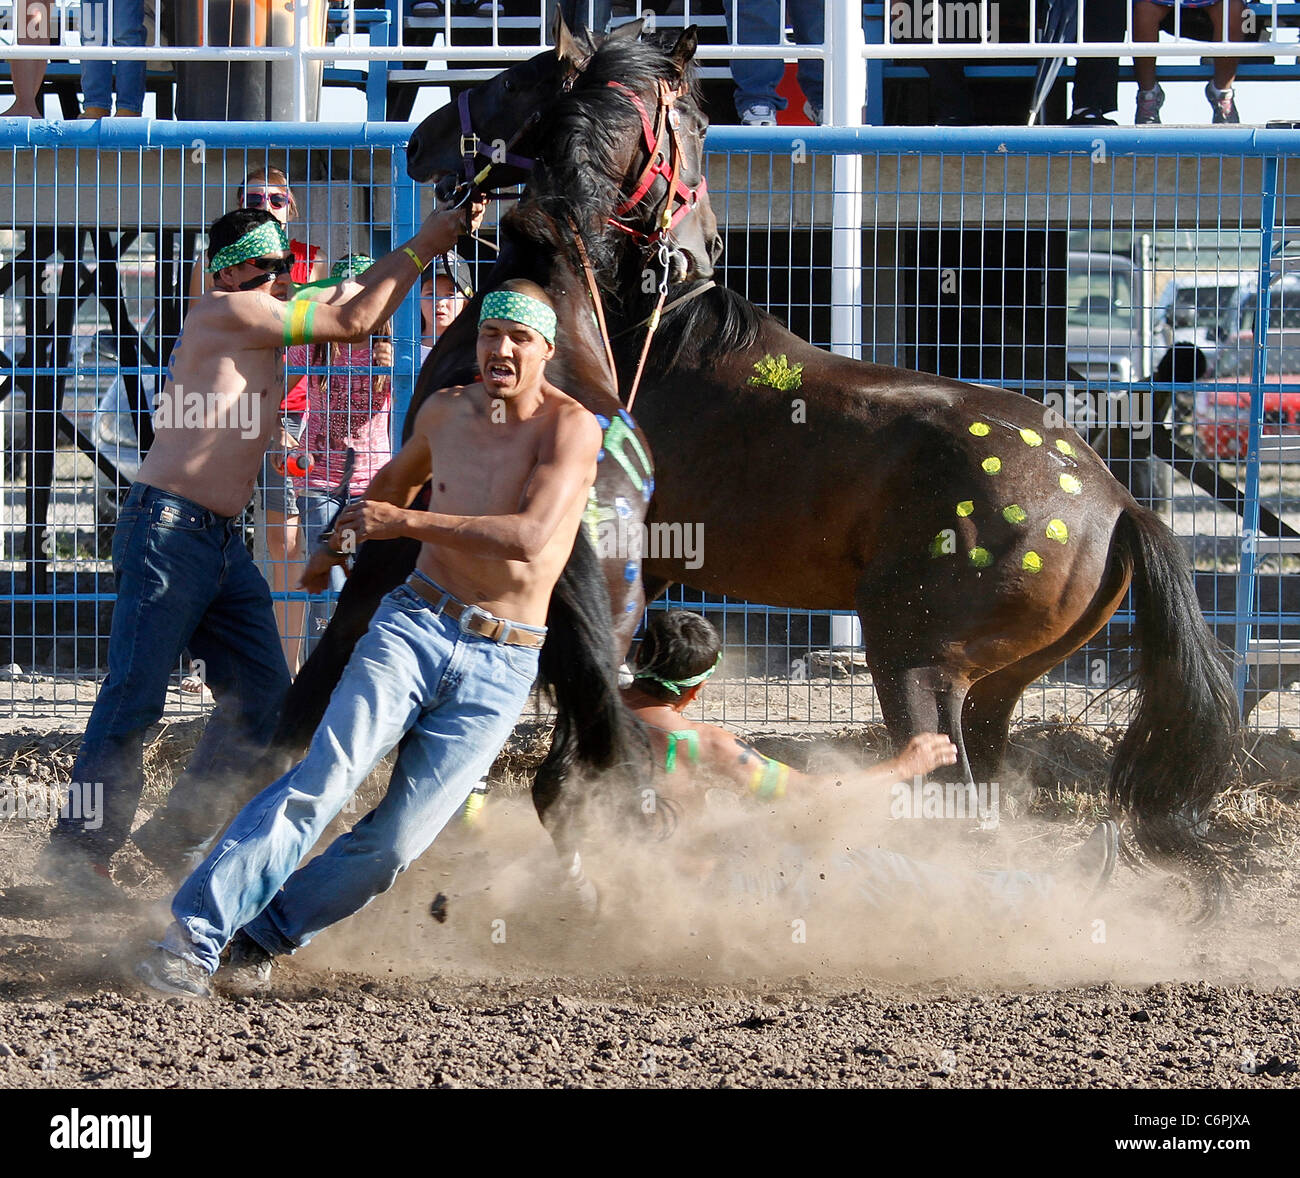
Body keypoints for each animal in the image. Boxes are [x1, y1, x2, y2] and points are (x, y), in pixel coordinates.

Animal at [400, 36, 1232, 904]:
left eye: (514, 79)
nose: (419, 141)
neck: (637, 330)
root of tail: (1115, 504)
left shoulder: (629, 567)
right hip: (995, 683)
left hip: (915, 662)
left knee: (948, 798)